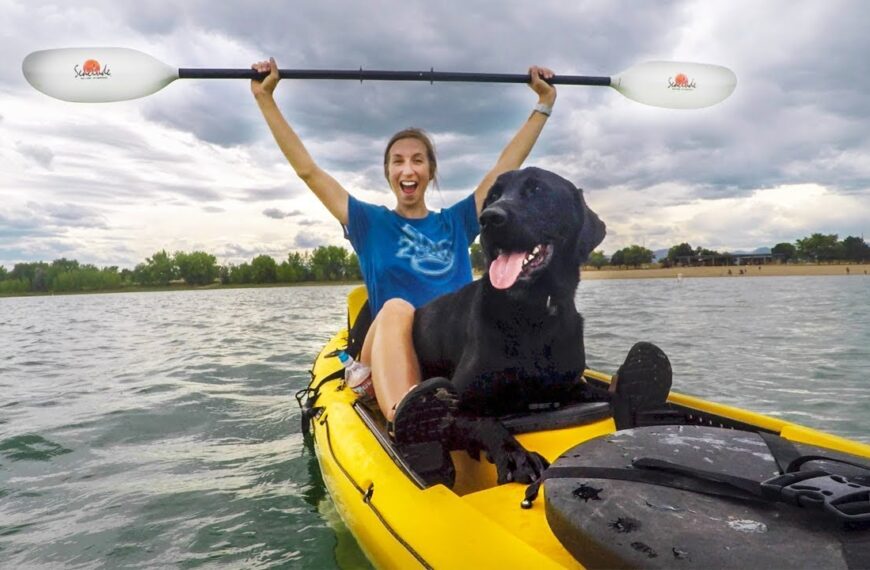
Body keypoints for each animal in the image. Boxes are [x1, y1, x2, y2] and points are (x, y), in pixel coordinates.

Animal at [410, 166, 604, 482]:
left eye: (537, 190)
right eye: (493, 195)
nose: (489, 218)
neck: (531, 315)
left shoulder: (568, 385)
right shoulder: (456, 406)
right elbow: (486, 421)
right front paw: (516, 456)